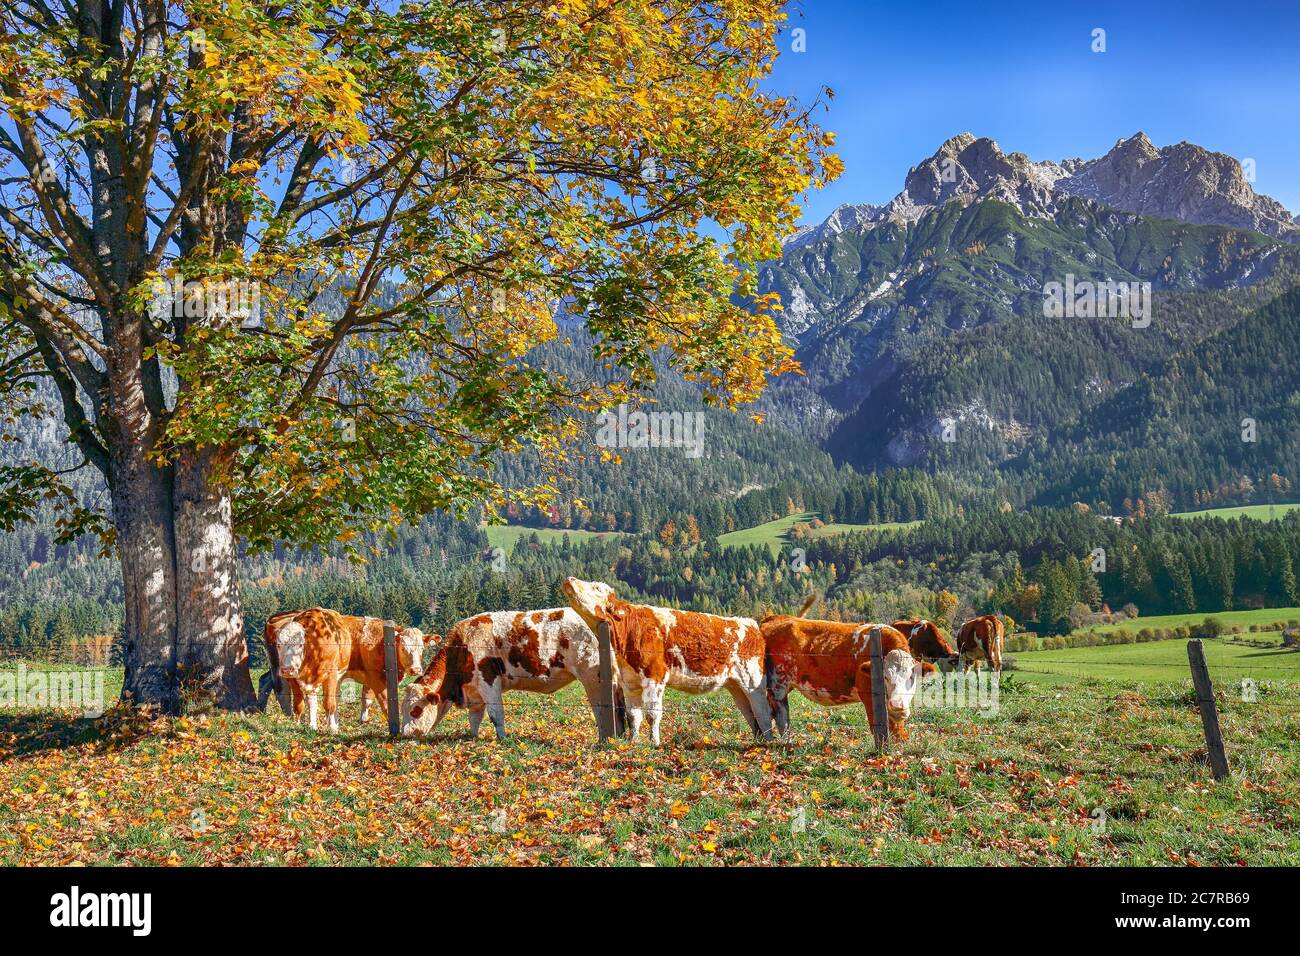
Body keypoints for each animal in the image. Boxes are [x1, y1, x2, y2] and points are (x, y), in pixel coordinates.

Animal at [397, 608, 621, 743]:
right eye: (402, 709)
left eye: (416, 710)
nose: (404, 733)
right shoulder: (474, 691)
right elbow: (475, 718)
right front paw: (473, 737)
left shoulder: (488, 680)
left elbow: (496, 714)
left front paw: (502, 739)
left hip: (593, 676)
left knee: (602, 709)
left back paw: (604, 739)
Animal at [561, 574, 769, 749]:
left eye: (596, 587)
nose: (570, 578)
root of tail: (750, 624)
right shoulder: (629, 682)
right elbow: (633, 715)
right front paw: (633, 741)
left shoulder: (655, 676)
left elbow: (652, 714)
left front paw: (654, 743)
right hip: (735, 686)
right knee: (750, 712)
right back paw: (758, 740)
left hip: (752, 680)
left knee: (762, 710)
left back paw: (767, 742)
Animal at [759, 616, 935, 743]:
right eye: (885, 676)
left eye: (911, 677)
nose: (898, 706)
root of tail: (776, 618)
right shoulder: (870, 698)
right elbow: (880, 729)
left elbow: (898, 729)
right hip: (778, 686)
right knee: (780, 715)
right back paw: (785, 742)